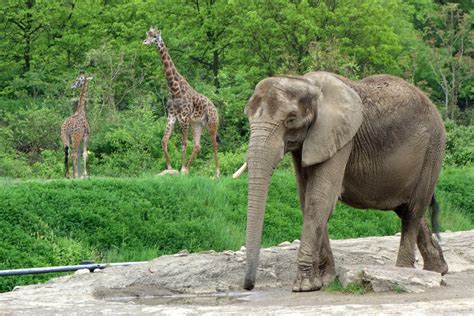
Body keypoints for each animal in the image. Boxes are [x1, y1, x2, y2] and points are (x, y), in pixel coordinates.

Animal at [143, 26, 220, 178]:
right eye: (147, 34)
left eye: (154, 36)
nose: (145, 42)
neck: (174, 89)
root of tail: (215, 108)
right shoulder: (171, 116)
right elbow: (164, 140)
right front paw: (171, 167)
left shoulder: (184, 118)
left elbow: (183, 143)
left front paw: (181, 168)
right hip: (197, 124)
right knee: (197, 145)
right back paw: (189, 169)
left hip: (212, 123)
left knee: (215, 144)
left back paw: (216, 173)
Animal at [243, 71, 450, 292]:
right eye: (248, 116)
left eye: (290, 119)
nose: (249, 286)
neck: (307, 83)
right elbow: (307, 199)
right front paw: (324, 281)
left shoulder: (339, 138)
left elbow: (320, 199)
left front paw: (303, 286)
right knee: (407, 208)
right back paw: (438, 270)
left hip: (433, 149)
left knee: (412, 212)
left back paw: (403, 271)